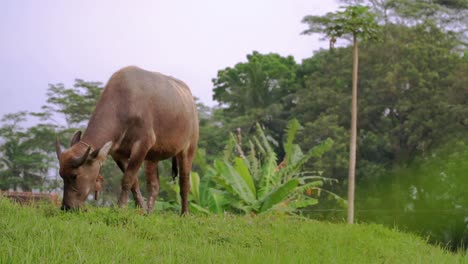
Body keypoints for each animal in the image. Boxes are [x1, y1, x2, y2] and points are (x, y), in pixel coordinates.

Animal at [55, 66, 199, 214]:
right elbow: (134, 182)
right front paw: (141, 208)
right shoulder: (118, 154)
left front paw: (121, 207)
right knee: (154, 185)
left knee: (184, 183)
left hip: (188, 149)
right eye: (61, 175)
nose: (67, 207)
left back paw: (184, 213)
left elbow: (127, 179)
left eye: (74, 175)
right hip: (152, 157)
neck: (124, 105)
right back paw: (149, 211)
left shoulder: (142, 145)